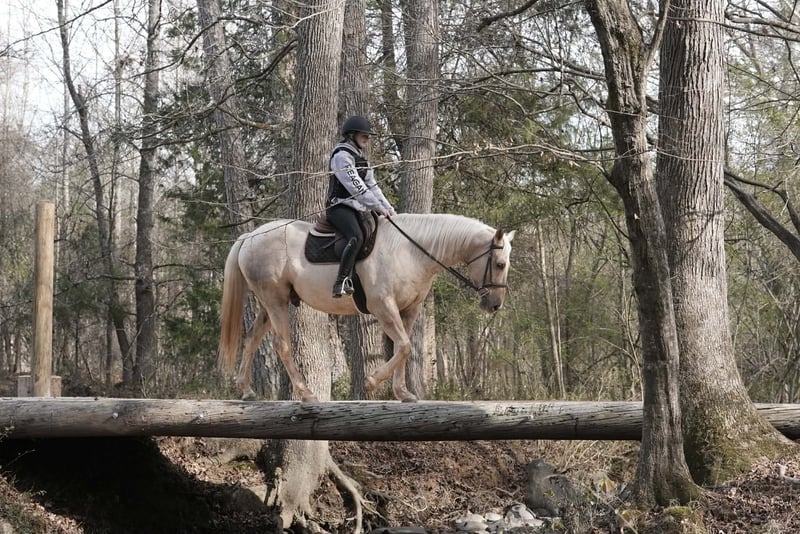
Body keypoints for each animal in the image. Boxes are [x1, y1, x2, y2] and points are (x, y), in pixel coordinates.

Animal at [218, 212, 515, 402]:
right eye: (500, 264)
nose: (495, 304)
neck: (410, 251)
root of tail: (251, 236)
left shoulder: (409, 310)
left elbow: (403, 348)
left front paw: (403, 393)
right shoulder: (383, 307)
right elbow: (404, 347)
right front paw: (372, 382)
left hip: (268, 304)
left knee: (252, 338)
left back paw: (246, 391)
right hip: (275, 301)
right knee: (282, 345)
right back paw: (306, 393)